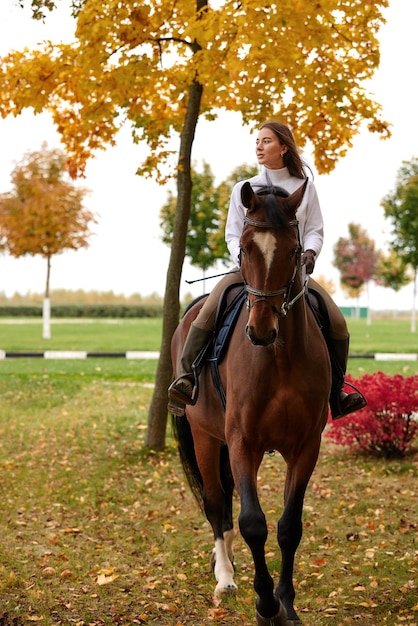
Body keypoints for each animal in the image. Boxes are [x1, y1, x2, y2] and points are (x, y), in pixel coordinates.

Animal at [171, 179, 332, 620]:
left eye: (294, 250)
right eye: (243, 248)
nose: (261, 330)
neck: (279, 357)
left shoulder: (305, 447)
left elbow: (289, 527)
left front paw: (286, 603)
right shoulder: (243, 442)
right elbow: (252, 523)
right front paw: (265, 605)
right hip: (206, 438)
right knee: (216, 503)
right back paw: (224, 578)